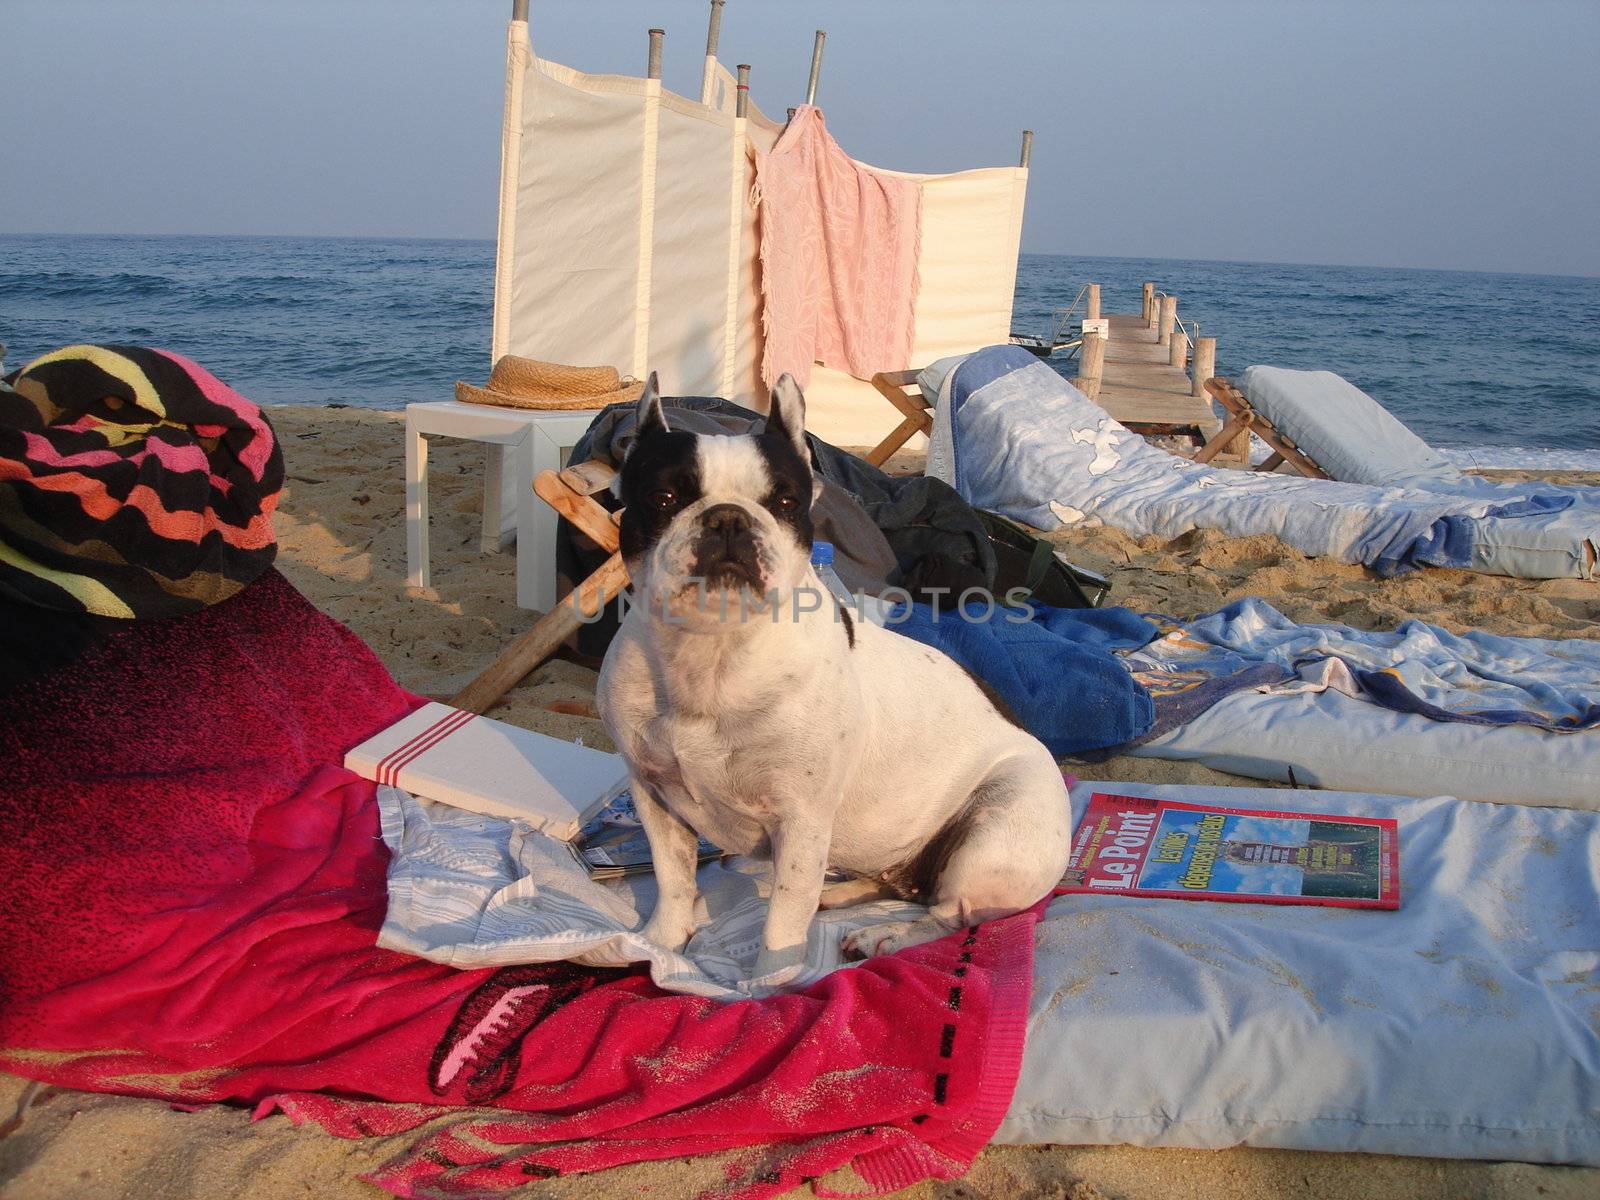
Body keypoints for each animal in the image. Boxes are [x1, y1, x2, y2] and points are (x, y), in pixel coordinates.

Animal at [595, 376, 1068, 985]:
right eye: (664, 499)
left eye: (785, 503)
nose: (727, 517)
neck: (714, 648)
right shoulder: (655, 798)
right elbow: (673, 879)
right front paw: (658, 943)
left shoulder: (801, 821)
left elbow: (783, 916)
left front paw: (767, 984)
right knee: (892, 884)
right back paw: (840, 896)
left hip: (995, 833)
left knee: (948, 912)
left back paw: (885, 934)